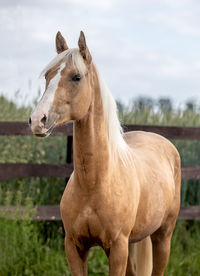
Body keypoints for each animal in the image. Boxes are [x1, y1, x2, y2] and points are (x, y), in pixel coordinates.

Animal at [29, 31, 181, 274]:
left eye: (76, 77)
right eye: (47, 76)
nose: (37, 120)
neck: (94, 183)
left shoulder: (117, 249)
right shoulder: (74, 247)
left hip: (162, 236)